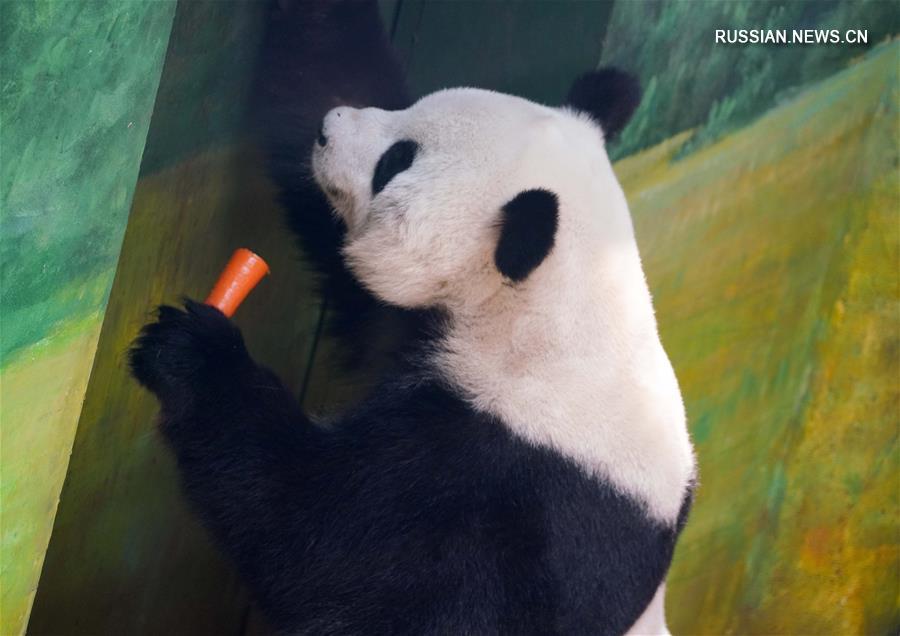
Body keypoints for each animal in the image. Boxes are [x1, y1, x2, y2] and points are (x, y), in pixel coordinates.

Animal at [132, 6, 696, 636]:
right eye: (411, 110)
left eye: (395, 161)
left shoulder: (511, 483)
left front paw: (193, 351)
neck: (554, 312)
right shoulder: (420, 332)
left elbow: (318, 541)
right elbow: (331, 72)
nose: (328, 127)